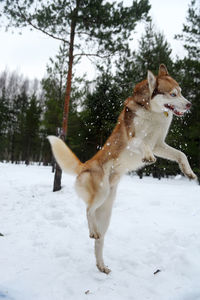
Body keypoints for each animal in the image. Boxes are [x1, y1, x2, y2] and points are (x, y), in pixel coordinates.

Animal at [47, 63, 196, 274]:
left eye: (181, 92)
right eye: (173, 94)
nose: (189, 104)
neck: (153, 112)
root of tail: (84, 166)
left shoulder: (160, 145)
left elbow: (181, 155)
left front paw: (188, 172)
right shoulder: (133, 140)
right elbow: (142, 142)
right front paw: (147, 156)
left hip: (106, 211)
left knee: (99, 240)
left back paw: (101, 264)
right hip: (101, 193)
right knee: (88, 210)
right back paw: (92, 231)